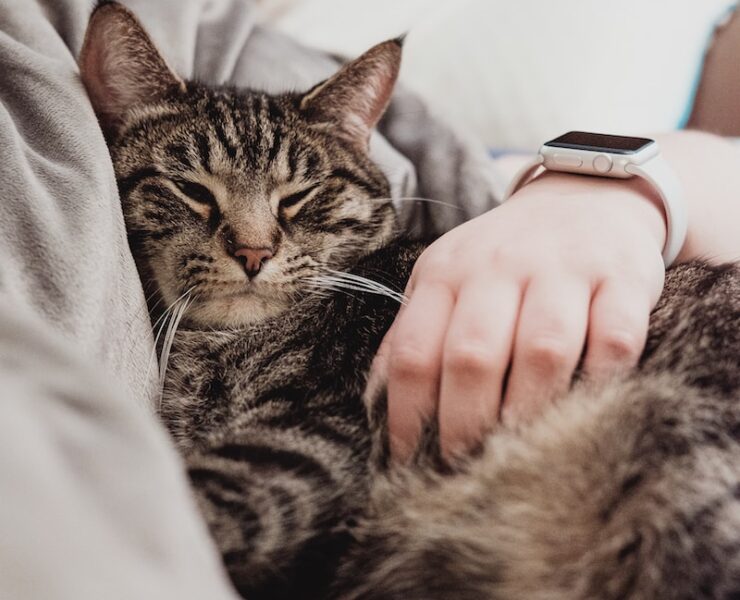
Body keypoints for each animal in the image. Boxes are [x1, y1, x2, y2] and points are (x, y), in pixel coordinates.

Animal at [81, 2, 740, 596]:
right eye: (191, 189)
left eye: (300, 196)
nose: (252, 252)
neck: (218, 347)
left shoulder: (313, 432)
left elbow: (190, 498)